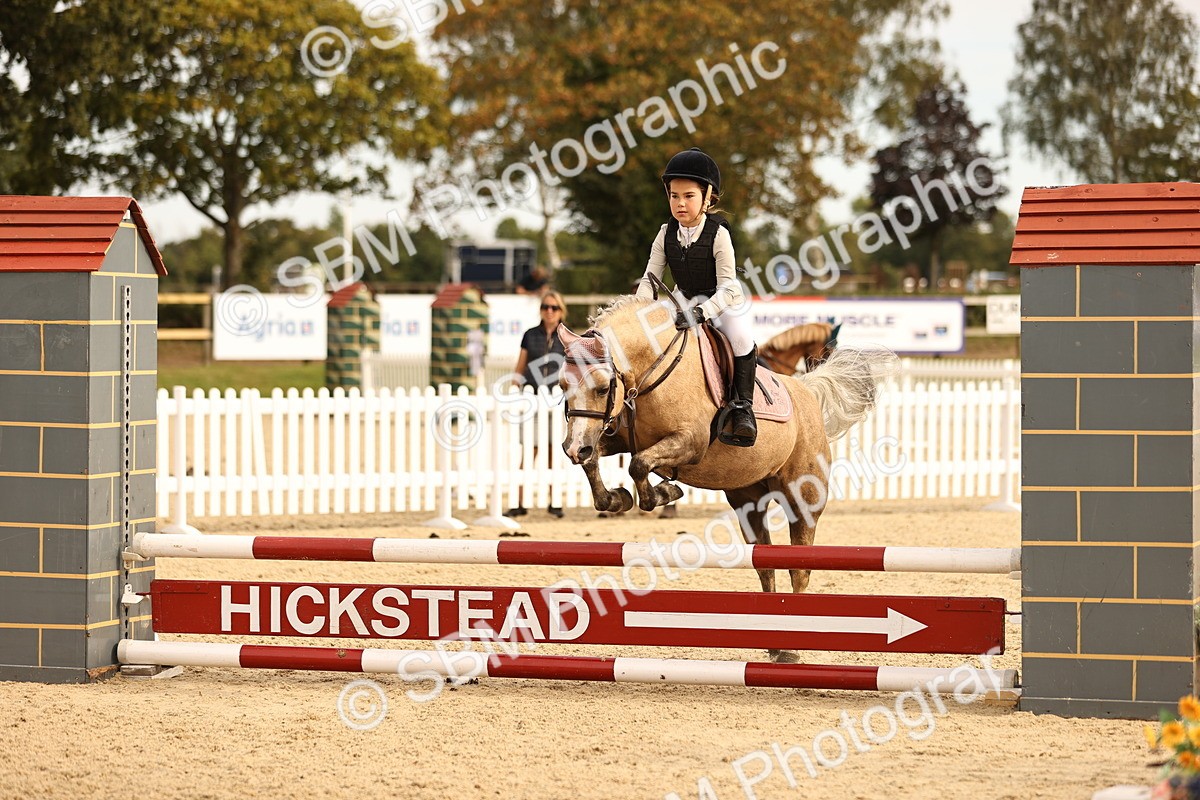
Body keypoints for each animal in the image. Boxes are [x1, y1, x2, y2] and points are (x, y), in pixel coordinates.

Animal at [558, 296, 895, 660]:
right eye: (562, 386)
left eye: (601, 387)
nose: (572, 448)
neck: (650, 372)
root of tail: (805, 390)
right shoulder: (611, 436)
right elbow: (598, 463)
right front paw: (617, 498)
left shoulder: (689, 442)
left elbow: (638, 465)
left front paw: (664, 494)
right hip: (748, 501)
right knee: (765, 563)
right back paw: (774, 642)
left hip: (803, 499)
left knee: (799, 567)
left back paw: (792, 646)